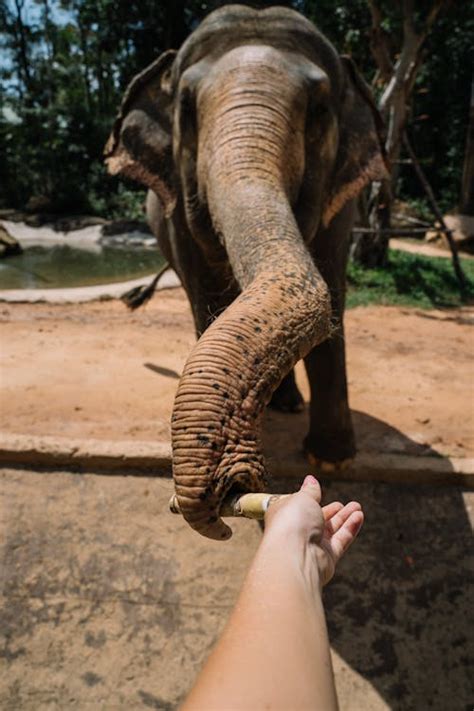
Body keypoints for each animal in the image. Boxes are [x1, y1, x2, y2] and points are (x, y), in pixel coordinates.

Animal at [104, 4, 388, 540]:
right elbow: (208, 289)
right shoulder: (176, 211)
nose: (234, 483)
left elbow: (332, 289)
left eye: (320, 109)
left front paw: (333, 459)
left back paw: (287, 407)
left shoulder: (343, 203)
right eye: (186, 107)